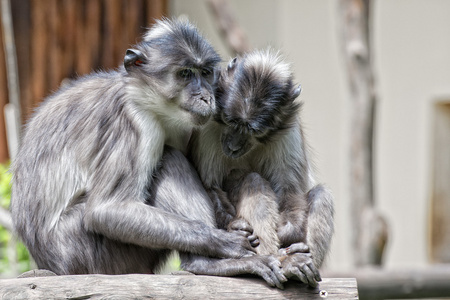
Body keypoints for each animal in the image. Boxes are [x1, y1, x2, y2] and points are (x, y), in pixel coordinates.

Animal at [9, 19, 284, 288]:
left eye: (205, 73)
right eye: (185, 74)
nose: (206, 97)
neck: (149, 101)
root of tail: (51, 264)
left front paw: (232, 225)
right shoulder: (132, 121)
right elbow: (106, 210)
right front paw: (225, 241)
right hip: (87, 251)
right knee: (169, 159)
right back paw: (204, 264)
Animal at [189, 49, 334, 288]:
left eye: (253, 131)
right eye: (231, 121)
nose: (233, 146)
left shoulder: (287, 128)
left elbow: (289, 188)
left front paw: (288, 233)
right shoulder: (208, 123)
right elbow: (211, 185)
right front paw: (234, 227)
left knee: (322, 194)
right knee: (252, 181)